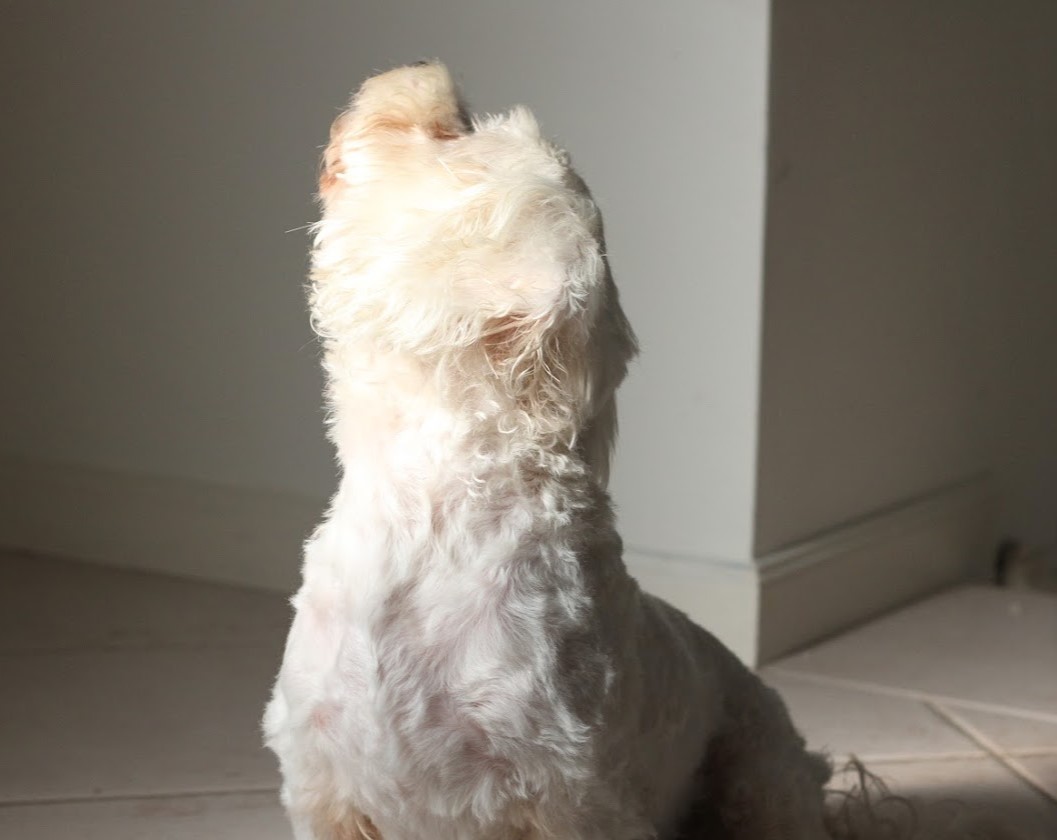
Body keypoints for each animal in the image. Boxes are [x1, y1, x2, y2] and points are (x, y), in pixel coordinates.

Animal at [264, 60, 1006, 840]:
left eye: (457, 139)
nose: (426, 73)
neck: (434, 517)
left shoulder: (567, 795)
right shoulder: (327, 782)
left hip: (759, 774)